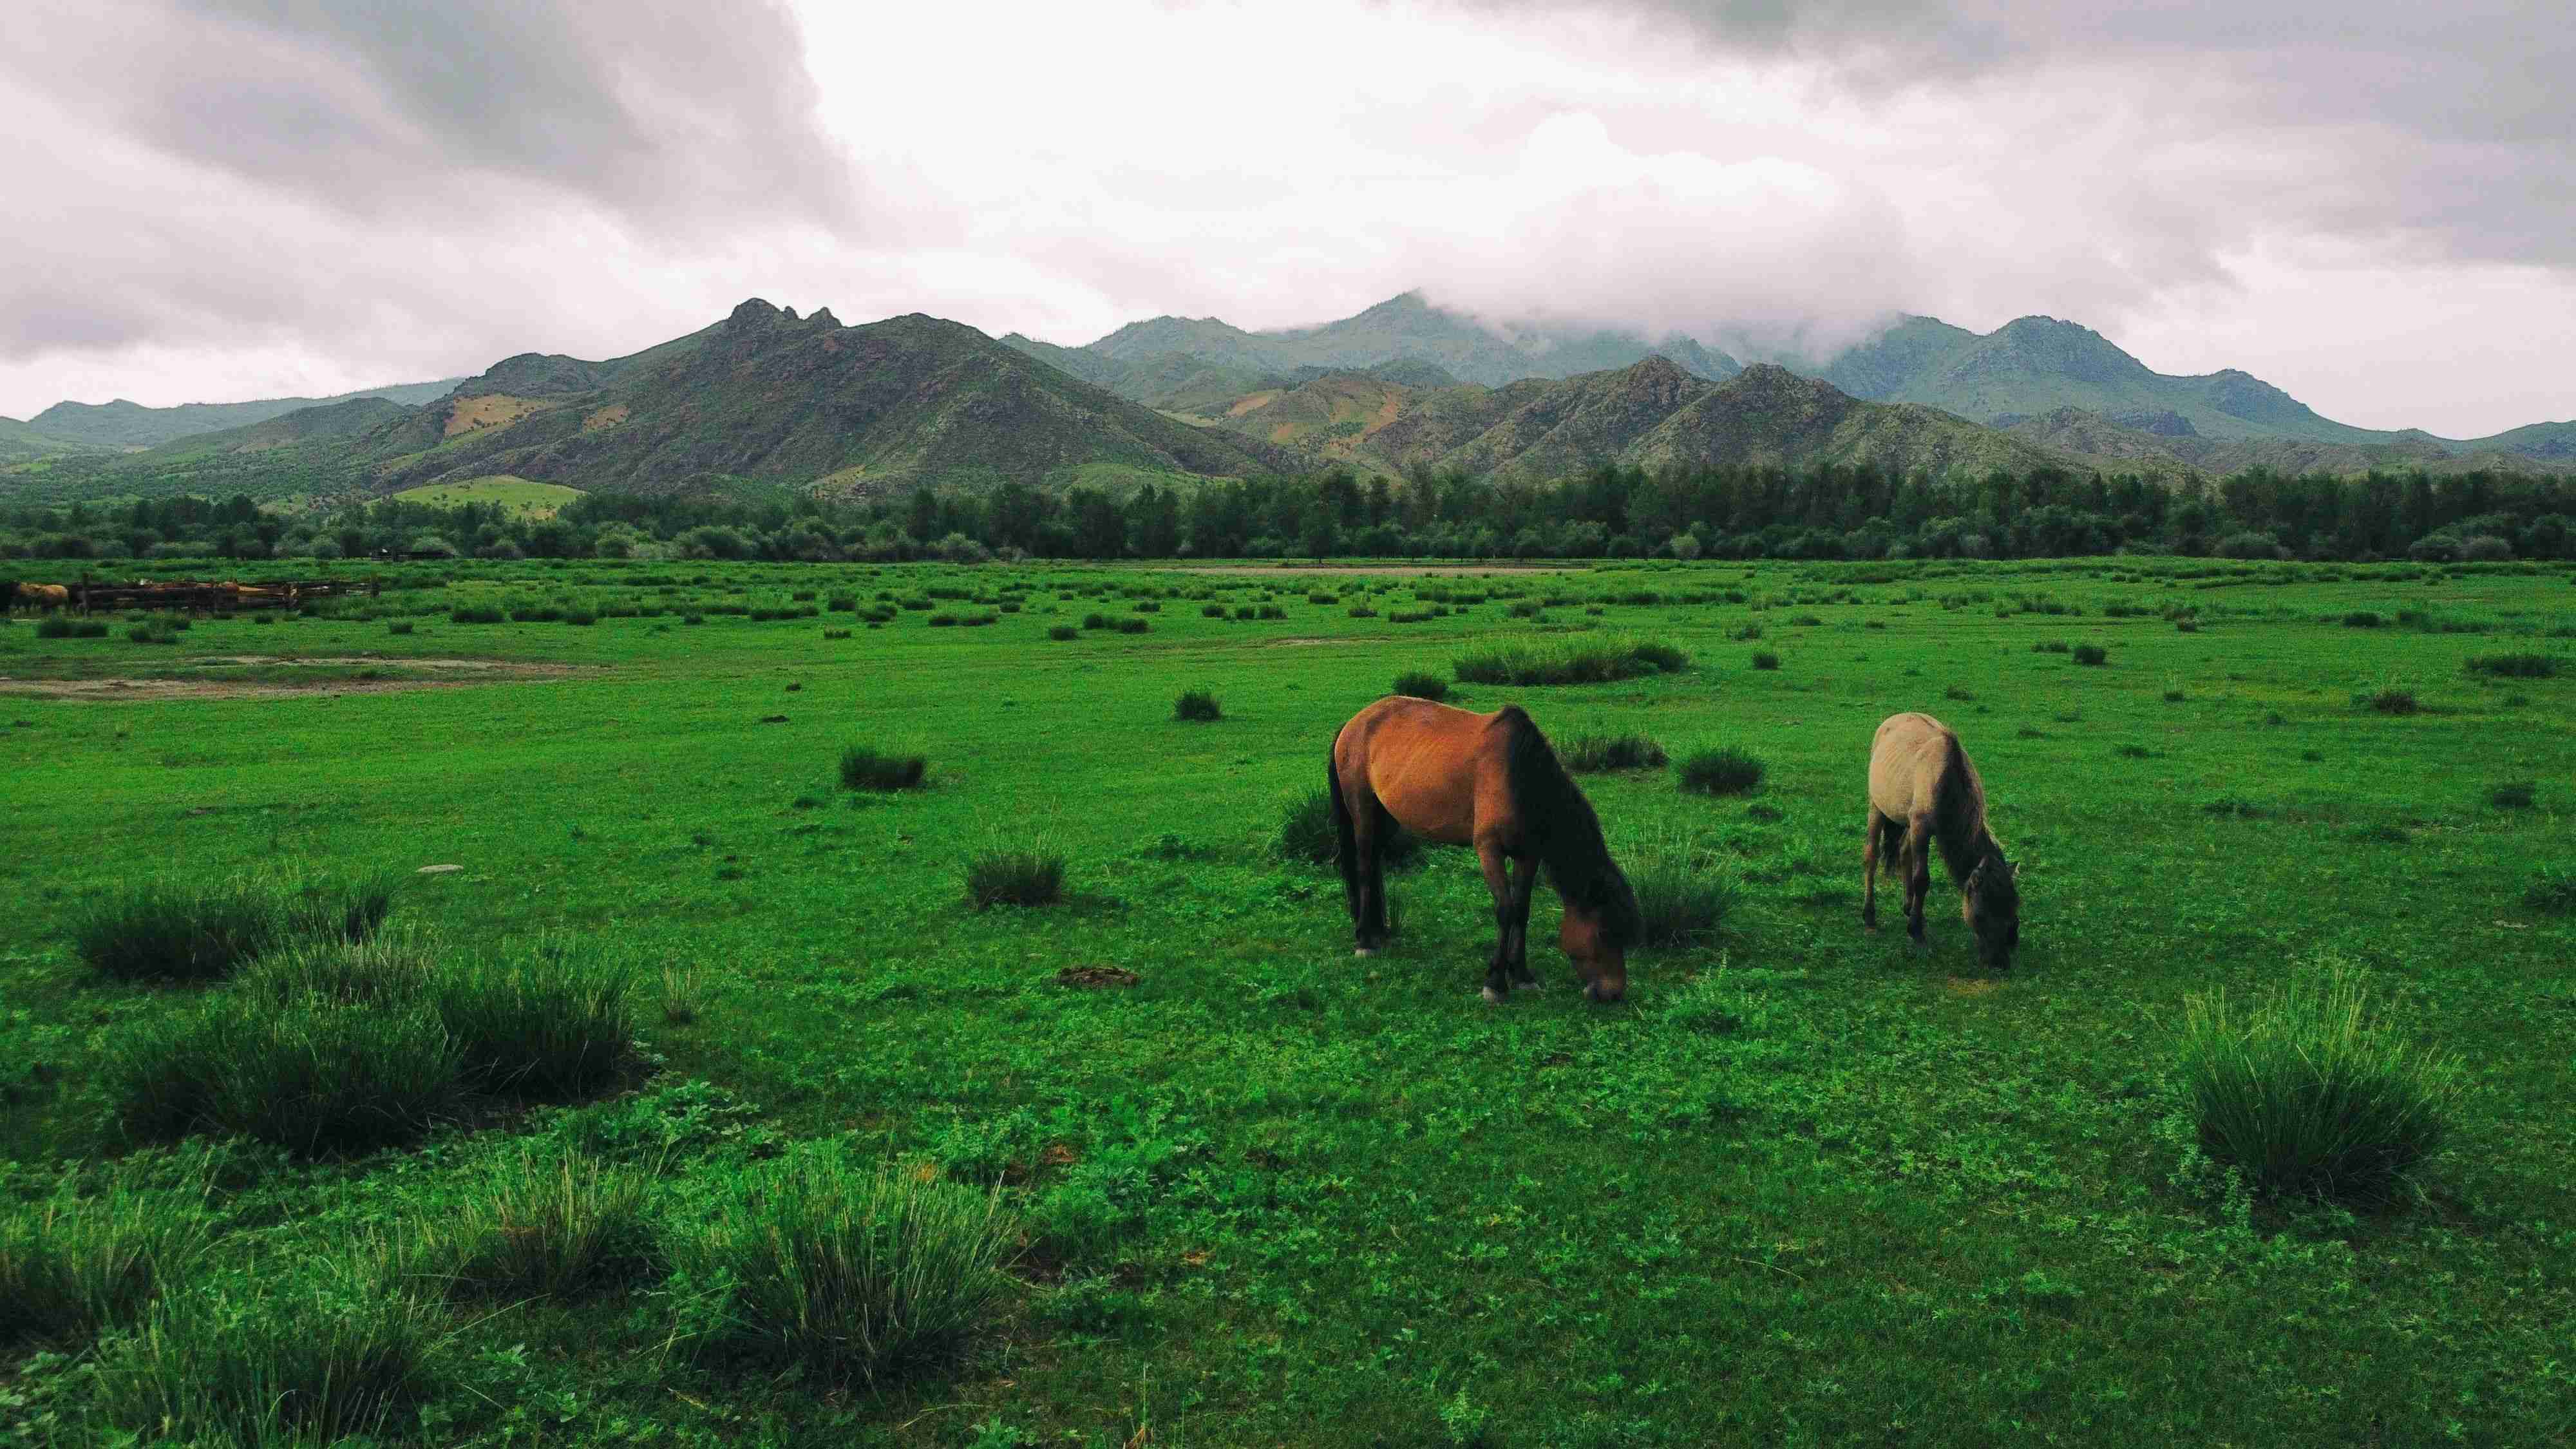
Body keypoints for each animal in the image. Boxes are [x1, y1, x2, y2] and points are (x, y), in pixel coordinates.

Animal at [1328, 696, 1641, 1004]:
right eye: (1604, 932)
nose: (1614, 993)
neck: (1517, 774)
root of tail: (1356, 722)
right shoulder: (1489, 850)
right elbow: (1505, 910)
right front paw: (1495, 982)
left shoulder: (1529, 854)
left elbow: (1522, 910)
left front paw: (1522, 975)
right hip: (1363, 812)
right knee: (1365, 868)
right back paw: (1365, 941)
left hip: (1388, 818)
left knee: (1375, 865)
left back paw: (1378, 932)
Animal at [1863, 712, 2020, 969]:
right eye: (1980, 915)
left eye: (2013, 906)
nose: (2000, 962)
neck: (1946, 780)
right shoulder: (1921, 828)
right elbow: (1922, 879)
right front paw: (1916, 932)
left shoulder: (1917, 826)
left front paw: (1915, 919)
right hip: (1877, 807)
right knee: (1871, 857)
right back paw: (1869, 916)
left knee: (1904, 852)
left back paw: (1908, 907)